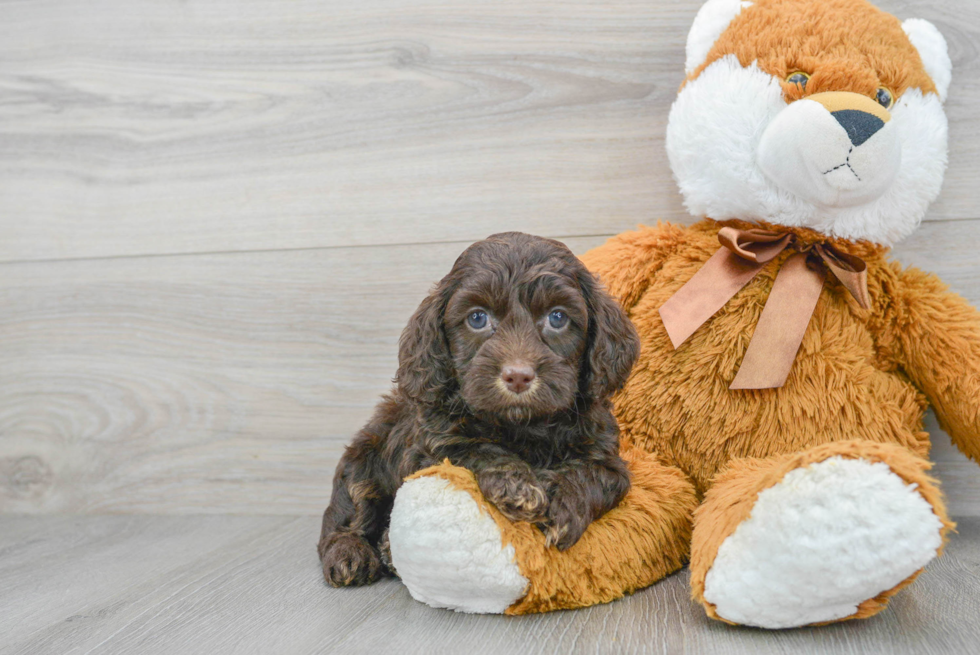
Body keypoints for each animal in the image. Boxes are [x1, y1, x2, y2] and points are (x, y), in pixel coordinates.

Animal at [318, 232, 640, 588]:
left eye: (557, 317)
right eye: (477, 318)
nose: (517, 376)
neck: (523, 425)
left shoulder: (608, 457)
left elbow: (596, 476)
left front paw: (563, 504)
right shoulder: (435, 446)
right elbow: (477, 451)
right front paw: (517, 486)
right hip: (362, 461)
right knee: (343, 518)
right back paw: (352, 554)